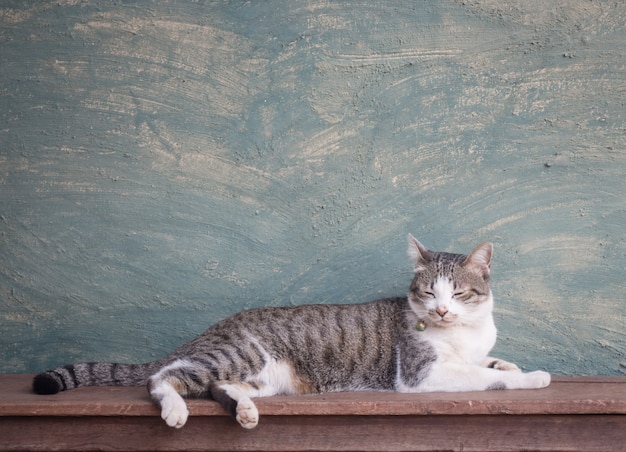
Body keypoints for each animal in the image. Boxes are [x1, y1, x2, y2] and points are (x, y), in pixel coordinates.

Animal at [31, 235, 548, 430]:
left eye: (458, 293)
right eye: (427, 291)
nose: (440, 310)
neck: (463, 333)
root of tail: (209, 330)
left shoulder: (470, 351)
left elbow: (492, 362)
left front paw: (510, 361)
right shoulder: (421, 376)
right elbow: (490, 377)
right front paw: (533, 377)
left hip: (264, 378)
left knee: (217, 387)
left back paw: (243, 411)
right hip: (239, 355)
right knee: (162, 378)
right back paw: (175, 410)